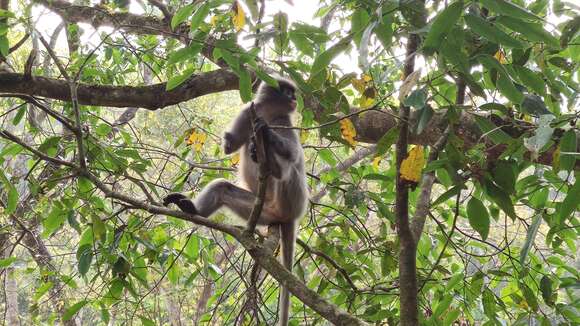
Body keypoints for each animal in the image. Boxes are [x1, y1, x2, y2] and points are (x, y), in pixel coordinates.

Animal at [163, 76, 308, 326]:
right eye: (287, 91)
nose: (293, 99)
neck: (270, 112)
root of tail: (291, 215)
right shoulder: (248, 112)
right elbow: (230, 145)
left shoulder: (284, 122)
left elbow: (291, 152)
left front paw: (265, 131)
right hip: (263, 211)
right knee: (222, 188)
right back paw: (192, 209)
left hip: (293, 197)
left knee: (290, 166)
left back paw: (273, 165)